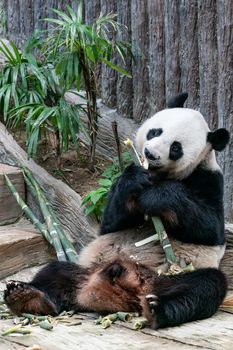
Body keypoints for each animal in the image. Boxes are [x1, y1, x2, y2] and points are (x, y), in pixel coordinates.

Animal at [3, 93, 229, 328]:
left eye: (176, 147)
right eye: (156, 131)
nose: (150, 153)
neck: (157, 175)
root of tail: (128, 288)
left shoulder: (209, 178)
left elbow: (210, 227)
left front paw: (158, 196)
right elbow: (110, 223)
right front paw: (135, 179)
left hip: (169, 276)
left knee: (203, 286)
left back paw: (158, 309)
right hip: (88, 269)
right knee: (55, 272)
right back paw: (27, 296)